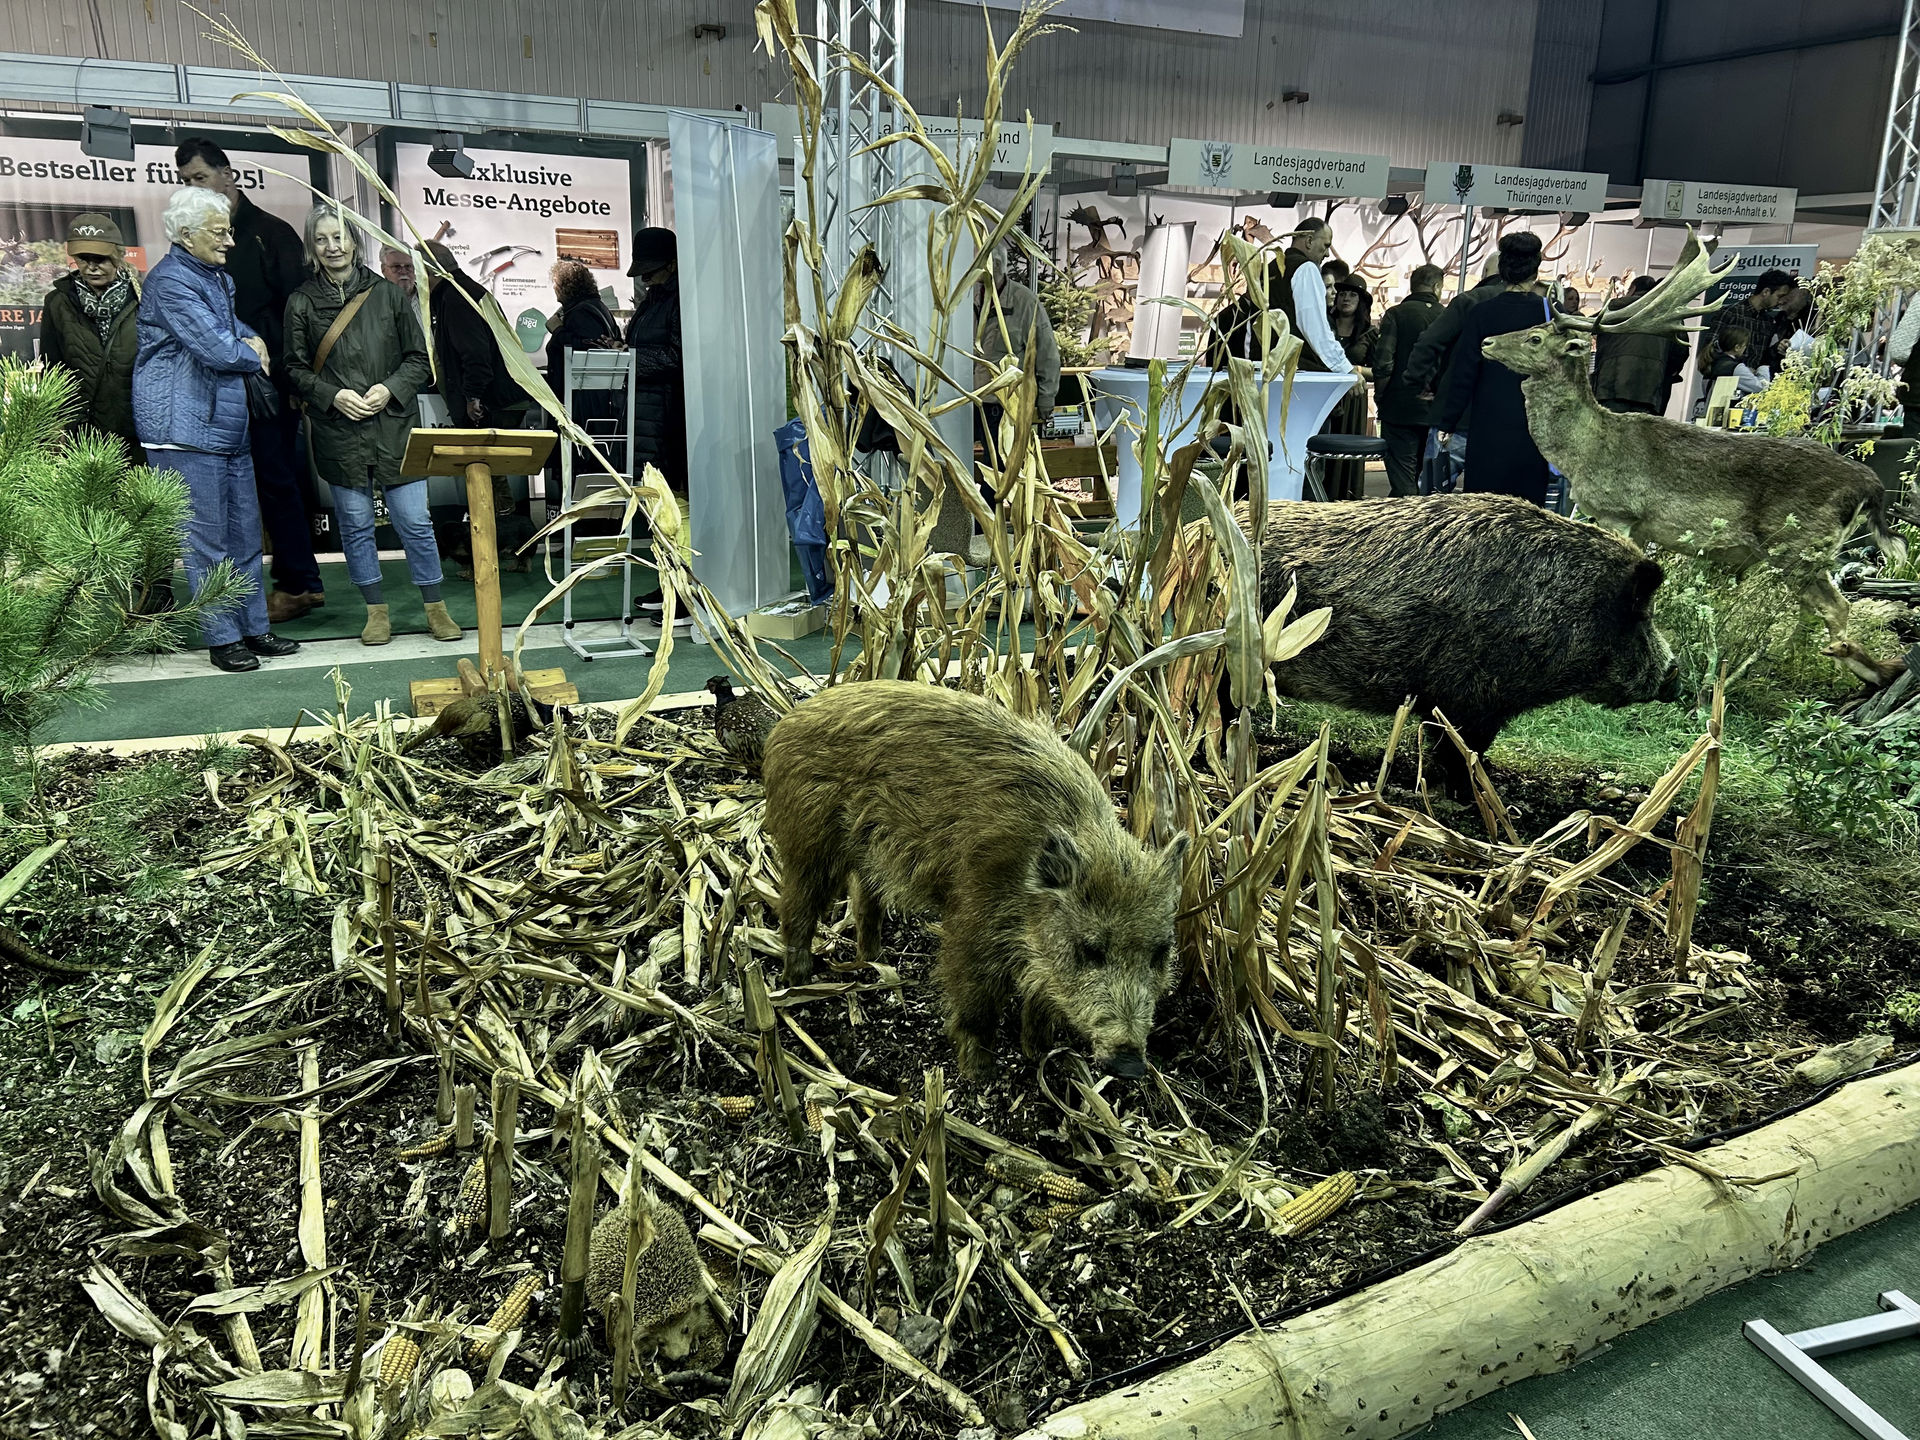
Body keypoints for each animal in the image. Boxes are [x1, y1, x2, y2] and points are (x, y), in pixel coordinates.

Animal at [1474, 231, 1896, 637]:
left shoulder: (1618, 511)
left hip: (1798, 544)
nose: (1486, 341)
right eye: (1532, 327)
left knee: (1836, 607)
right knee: (1817, 609)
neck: (1585, 451)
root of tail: (1870, 485)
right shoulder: (1638, 526)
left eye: (1535, 339)